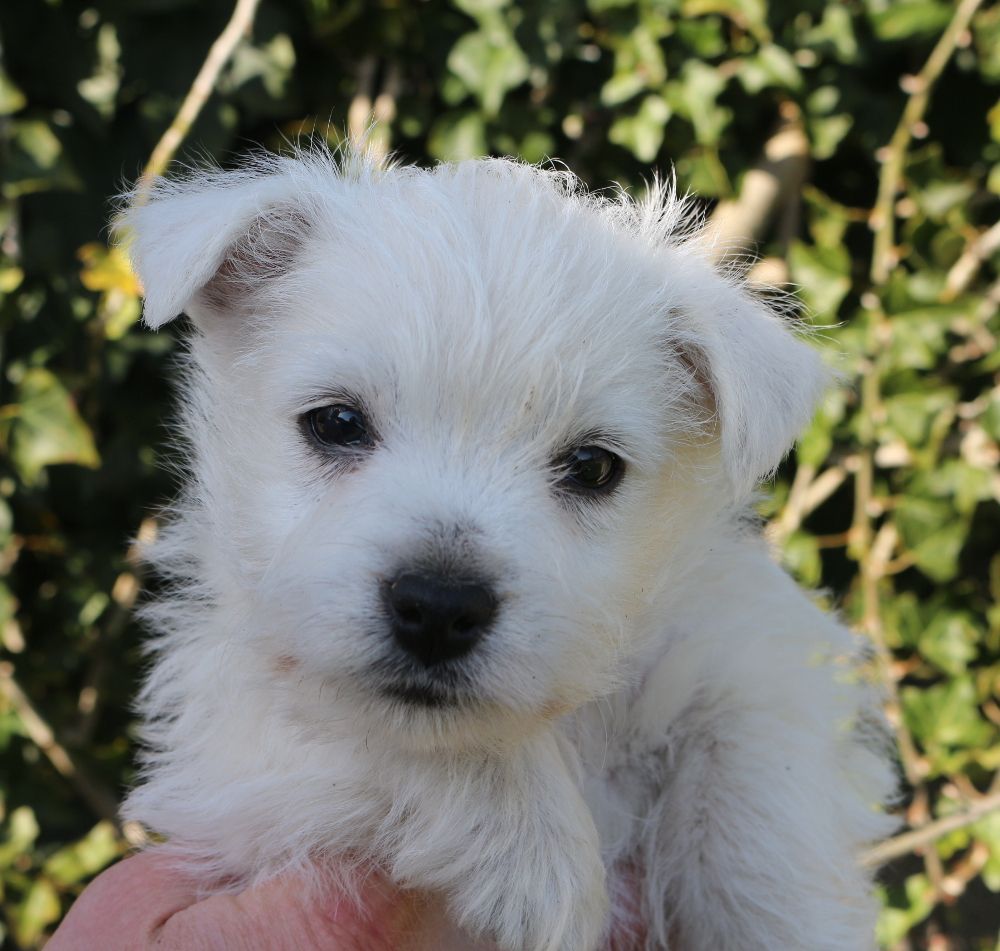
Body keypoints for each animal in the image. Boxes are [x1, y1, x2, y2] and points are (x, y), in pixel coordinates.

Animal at [119, 149, 900, 951]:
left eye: (592, 466)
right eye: (336, 422)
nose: (438, 608)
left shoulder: (742, 659)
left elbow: (754, 796)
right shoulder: (228, 754)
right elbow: (350, 726)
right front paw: (541, 859)